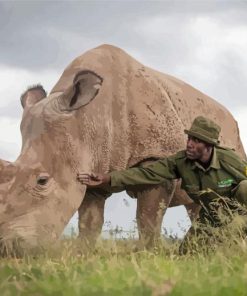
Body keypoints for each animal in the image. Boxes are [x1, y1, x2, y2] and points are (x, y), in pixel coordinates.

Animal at [0, 44, 245, 254]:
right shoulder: (93, 163)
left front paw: (148, 254)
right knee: (196, 206)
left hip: (234, 135)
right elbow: (90, 221)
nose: (7, 248)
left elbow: (148, 217)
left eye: (42, 181)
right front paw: (82, 254)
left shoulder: (154, 155)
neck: (88, 118)